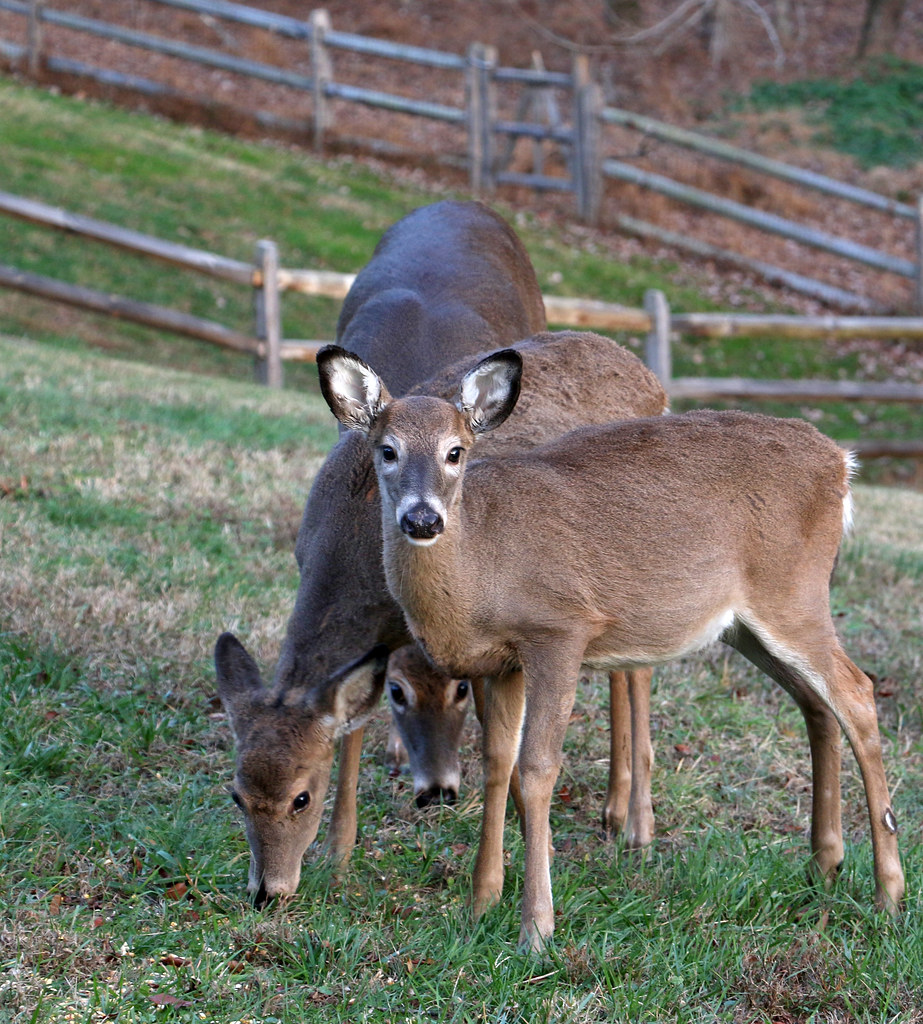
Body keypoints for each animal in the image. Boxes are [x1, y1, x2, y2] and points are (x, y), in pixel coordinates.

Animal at [214, 198, 665, 906]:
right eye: (237, 794)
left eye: (300, 797)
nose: (268, 891)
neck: (353, 555)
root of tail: (647, 377)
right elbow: (354, 725)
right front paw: (340, 852)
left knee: (637, 673)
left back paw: (634, 821)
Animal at [316, 343, 905, 950]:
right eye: (387, 450)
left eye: (455, 452)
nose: (423, 518)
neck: (480, 566)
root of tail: (841, 463)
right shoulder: (503, 663)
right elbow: (497, 764)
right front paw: (480, 906)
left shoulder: (560, 629)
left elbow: (537, 768)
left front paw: (536, 928)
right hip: (747, 624)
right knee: (818, 704)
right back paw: (824, 866)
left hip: (794, 592)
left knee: (858, 693)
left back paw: (888, 894)